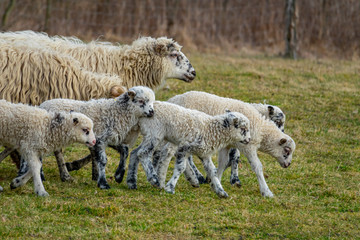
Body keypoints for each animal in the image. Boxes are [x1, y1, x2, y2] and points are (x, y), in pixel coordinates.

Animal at [167, 91, 296, 198]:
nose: (288, 164)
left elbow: (224, 162)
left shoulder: (228, 145)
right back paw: (193, 177)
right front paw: (266, 191)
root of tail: (172, 99)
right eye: (287, 150)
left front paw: (216, 181)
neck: (262, 130)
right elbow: (257, 167)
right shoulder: (247, 146)